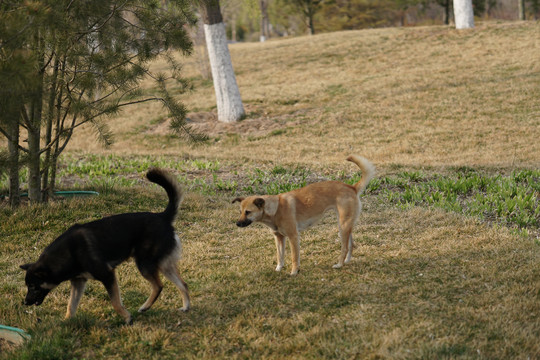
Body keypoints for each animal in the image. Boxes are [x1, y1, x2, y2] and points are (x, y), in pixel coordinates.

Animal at [19, 168, 190, 324]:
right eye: (28, 285)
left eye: (33, 286)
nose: (25, 302)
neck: (68, 252)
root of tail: (163, 216)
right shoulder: (78, 281)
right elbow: (71, 305)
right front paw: (66, 321)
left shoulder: (107, 275)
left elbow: (115, 302)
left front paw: (127, 318)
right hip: (163, 264)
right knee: (183, 284)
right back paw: (186, 306)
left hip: (145, 264)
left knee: (159, 286)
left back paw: (145, 307)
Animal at [232, 155, 376, 276]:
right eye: (240, 212)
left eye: (248, 212)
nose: (237, 224)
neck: (275, 209)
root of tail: (352, 187)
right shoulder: (279, 237)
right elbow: (280, 256)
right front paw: (279, 269)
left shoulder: (293, 237)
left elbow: (294, 257)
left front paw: (294, 272)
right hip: (346, 225)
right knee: (351, 245)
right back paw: (346, 261)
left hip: (343, 226)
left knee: (345, 247)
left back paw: (339, 264)